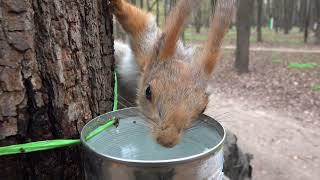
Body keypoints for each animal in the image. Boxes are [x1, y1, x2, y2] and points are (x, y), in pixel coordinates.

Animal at [111, 0, 234, 147]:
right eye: (148, 92)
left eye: (203, 108)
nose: (167, 141)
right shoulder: (146, 47)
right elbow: (140, 23)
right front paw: (117, 4)